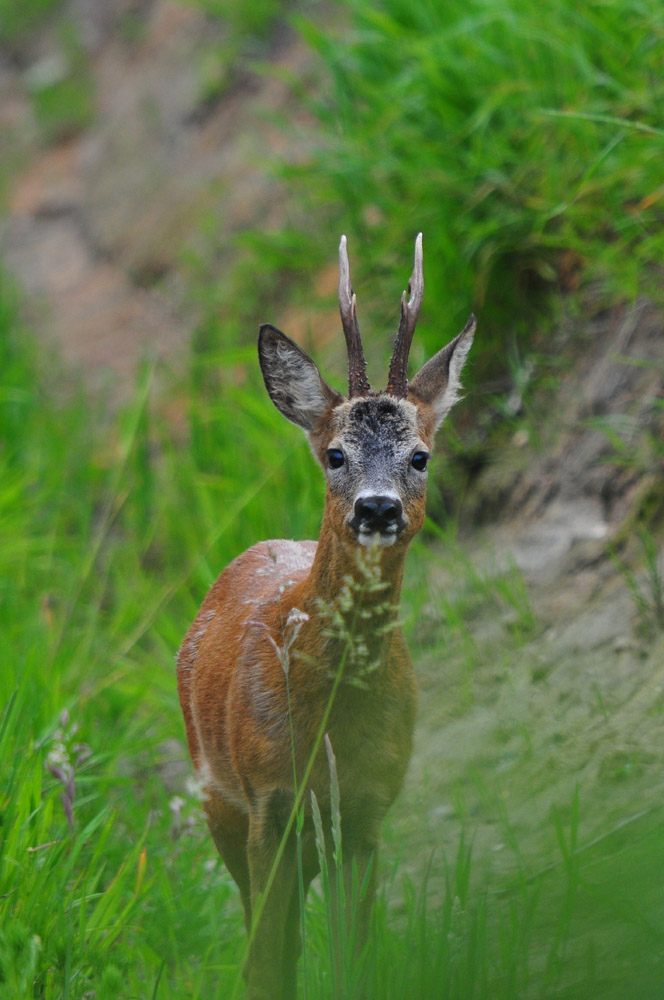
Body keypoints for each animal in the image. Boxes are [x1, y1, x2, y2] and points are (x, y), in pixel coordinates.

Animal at [178, 236, 478, 1000]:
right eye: (335, 453)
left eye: (420, 456)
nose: (377, 507)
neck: (330, 725)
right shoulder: (268, 800)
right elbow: (269, 961)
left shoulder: (368, 809)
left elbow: (353, 960)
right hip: (217, 799)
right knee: (261, 940)